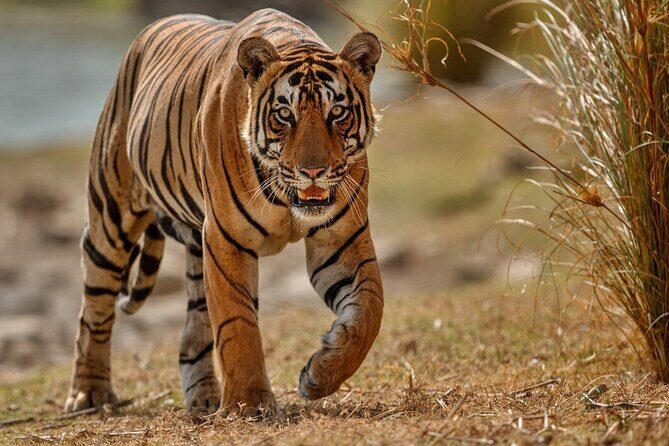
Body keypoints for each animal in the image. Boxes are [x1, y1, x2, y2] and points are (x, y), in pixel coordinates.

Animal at [64, 8, 384, 416]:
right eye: (285, 115)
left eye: (337, 112)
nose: (312, 171)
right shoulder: (225, 239)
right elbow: (237, 323)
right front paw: (250, 404)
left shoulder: (341, 240)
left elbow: (370, 308)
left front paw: (319, 375)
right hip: (110, 219)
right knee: (93, 311)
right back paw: (88, 394)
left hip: (194, 252)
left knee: (191, 334)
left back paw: (203, 399)